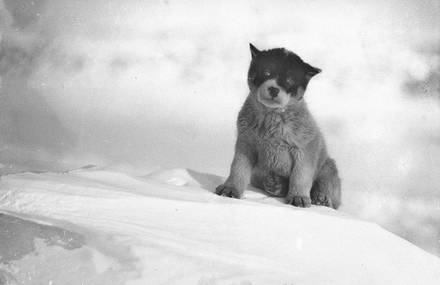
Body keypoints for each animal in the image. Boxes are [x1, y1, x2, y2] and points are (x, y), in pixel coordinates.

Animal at [215, 44, 342, 209]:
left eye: (289, 80)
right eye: (266, 73)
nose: (274, 89)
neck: (271, 116)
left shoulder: (305, 150)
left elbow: (300, 176)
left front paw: (299, 198)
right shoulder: (245, 144)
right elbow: (238, 169)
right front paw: (230, 189)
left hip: (328, 166)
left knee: (327, 189)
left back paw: (321, 198)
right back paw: (276, 185)